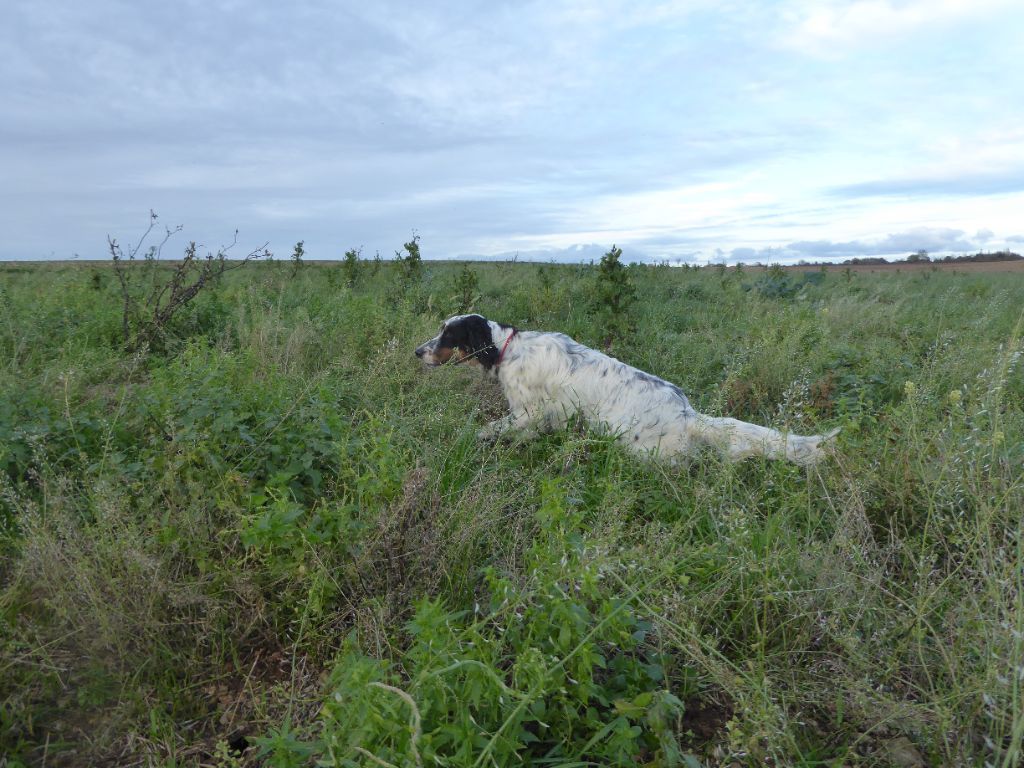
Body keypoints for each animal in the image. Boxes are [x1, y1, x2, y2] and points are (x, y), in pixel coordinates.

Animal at [417, 313, 839, 468]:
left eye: (448, 335)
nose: (417, 351)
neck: (507, 349)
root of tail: (687, 415)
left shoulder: (527, 413)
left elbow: (491, 429)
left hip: (636, 446)